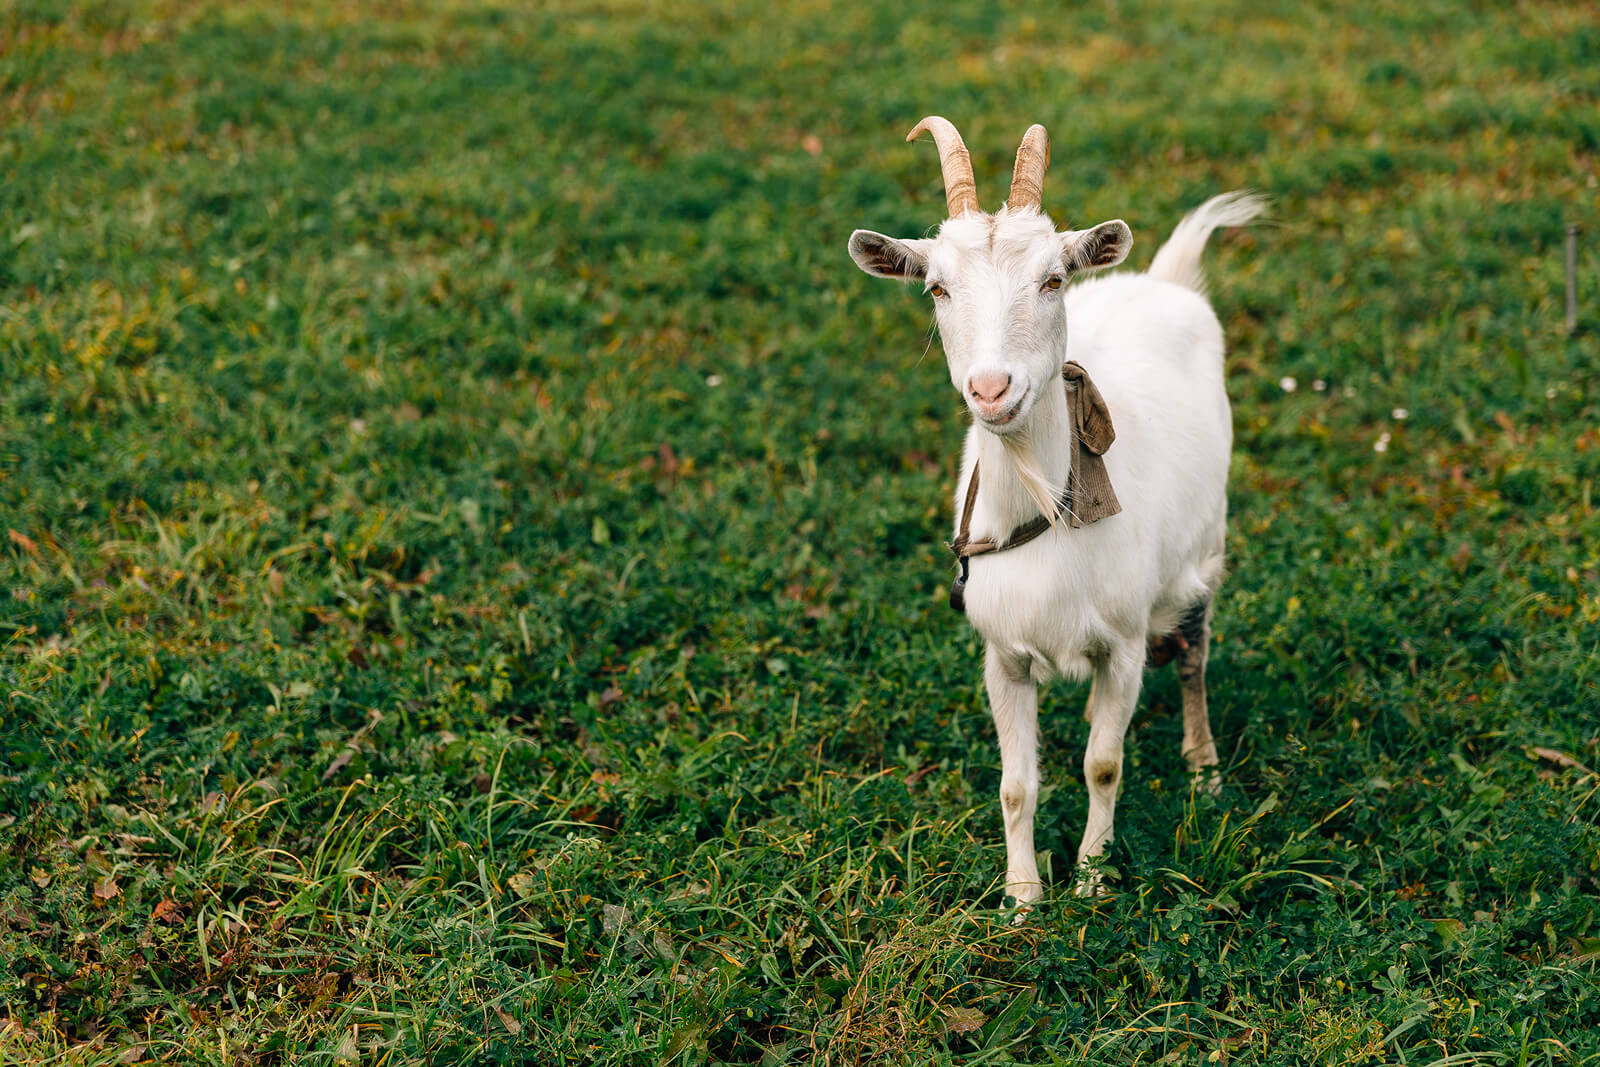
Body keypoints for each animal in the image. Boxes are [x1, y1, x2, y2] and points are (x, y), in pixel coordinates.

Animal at [851, 116, 1260, 902]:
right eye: (937, 288)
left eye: (1053, 279)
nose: (990, 388)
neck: (1043, 512)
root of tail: (1164, 282)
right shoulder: (1002, 655)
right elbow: (1016, 783)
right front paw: (1021, 895)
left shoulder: (1124, 644)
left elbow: (1104, 763)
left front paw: (1092, 881)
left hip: (1206, 546)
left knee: (1193, 652)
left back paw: (1204, 768)